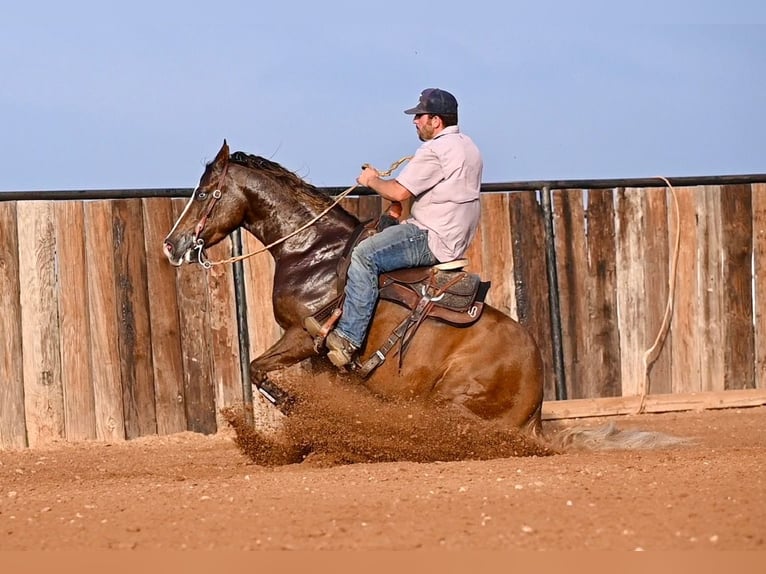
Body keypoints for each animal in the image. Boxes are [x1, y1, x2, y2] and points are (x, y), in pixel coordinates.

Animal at [164, 143, 544, 436]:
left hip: (451, 400)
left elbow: (257, 369)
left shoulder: (303, 336)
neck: (311, 250)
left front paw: (297, 409)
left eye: (202, 193)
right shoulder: (320, 359)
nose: (171, 244)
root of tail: (537, 392)